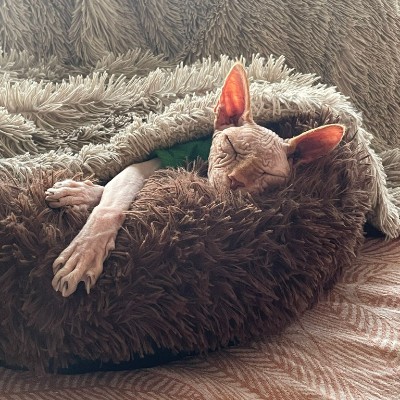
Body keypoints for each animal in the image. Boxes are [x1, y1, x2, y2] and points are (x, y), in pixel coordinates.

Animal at [45, 62, 344, 297]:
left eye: (267, 174)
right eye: (231, 146)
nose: (235, 180)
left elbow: (113, 189)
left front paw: (79, 194)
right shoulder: (163, 155)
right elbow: (113, 199)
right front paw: (84, 252)